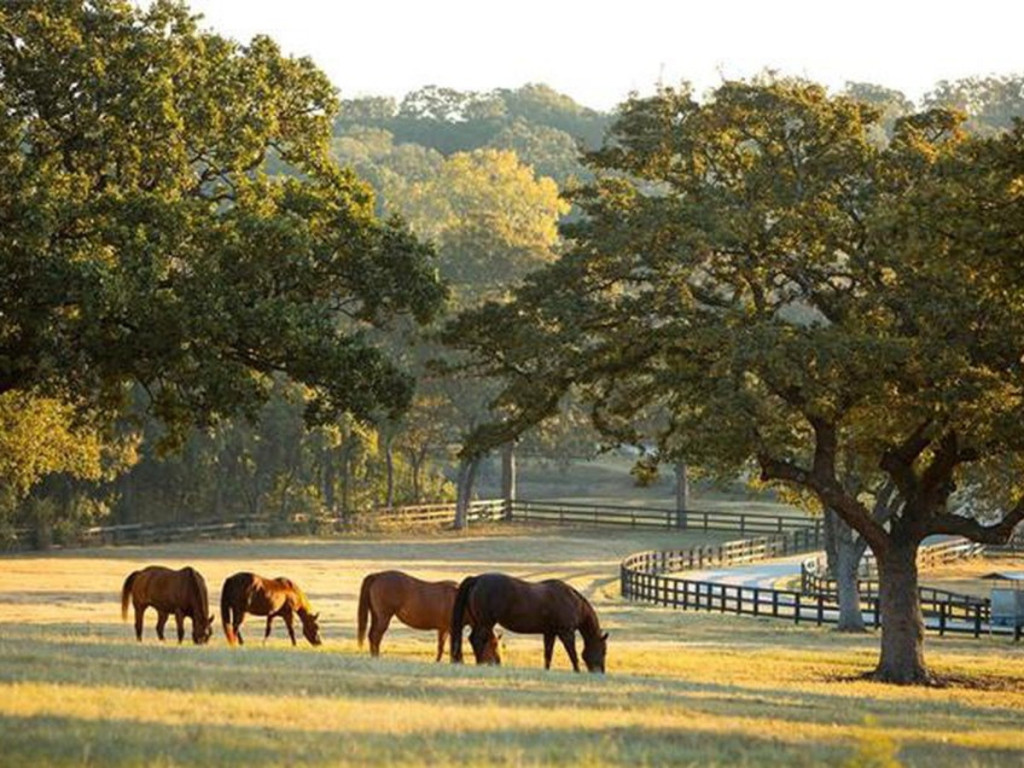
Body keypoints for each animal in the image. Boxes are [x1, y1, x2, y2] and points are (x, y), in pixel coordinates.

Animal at [357, 570, 501, 663]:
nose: (497, 662)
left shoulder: (443, 629)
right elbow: (453, 645)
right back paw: (376, 657)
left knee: (372, 636)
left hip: (376, 616)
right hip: (383, 617)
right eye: (493, 644)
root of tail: (377, 576)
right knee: (375, 636)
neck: (461, 599)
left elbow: (441, 646)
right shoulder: (452, 628)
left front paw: (438, 661)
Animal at [450, 573, 608, 673]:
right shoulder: (566, 633)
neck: (572, 601)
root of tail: (477, 579)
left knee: (473, 639)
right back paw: (479, 662)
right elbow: (572, 653)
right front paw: (577, 670)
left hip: (480, 622)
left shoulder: (549, 633)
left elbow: (548, 654)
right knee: (477, 639)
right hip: (485, 622)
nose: (600, 672)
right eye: (604, 650)